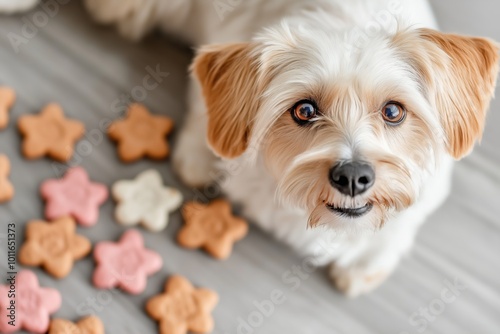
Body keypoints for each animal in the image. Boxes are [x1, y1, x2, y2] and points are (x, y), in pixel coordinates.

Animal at [4, 0, 500, 298]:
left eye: (394, 111)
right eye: (304, 110)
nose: (353, 176)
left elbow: (405, 220)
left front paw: (368, 261)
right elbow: (203, 110)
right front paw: (198, 155)